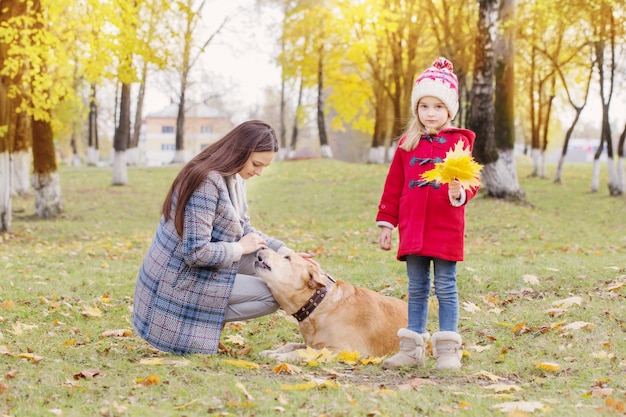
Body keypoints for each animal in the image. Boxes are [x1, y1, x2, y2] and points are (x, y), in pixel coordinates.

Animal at [251, 247, 408, 360]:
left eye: (287, 258)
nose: (262, 246)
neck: (318, 305)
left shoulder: (340, 350)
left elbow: (302, 353)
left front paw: (279, 355)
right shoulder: (312, 344)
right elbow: (292, 345)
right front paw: (273, 351)